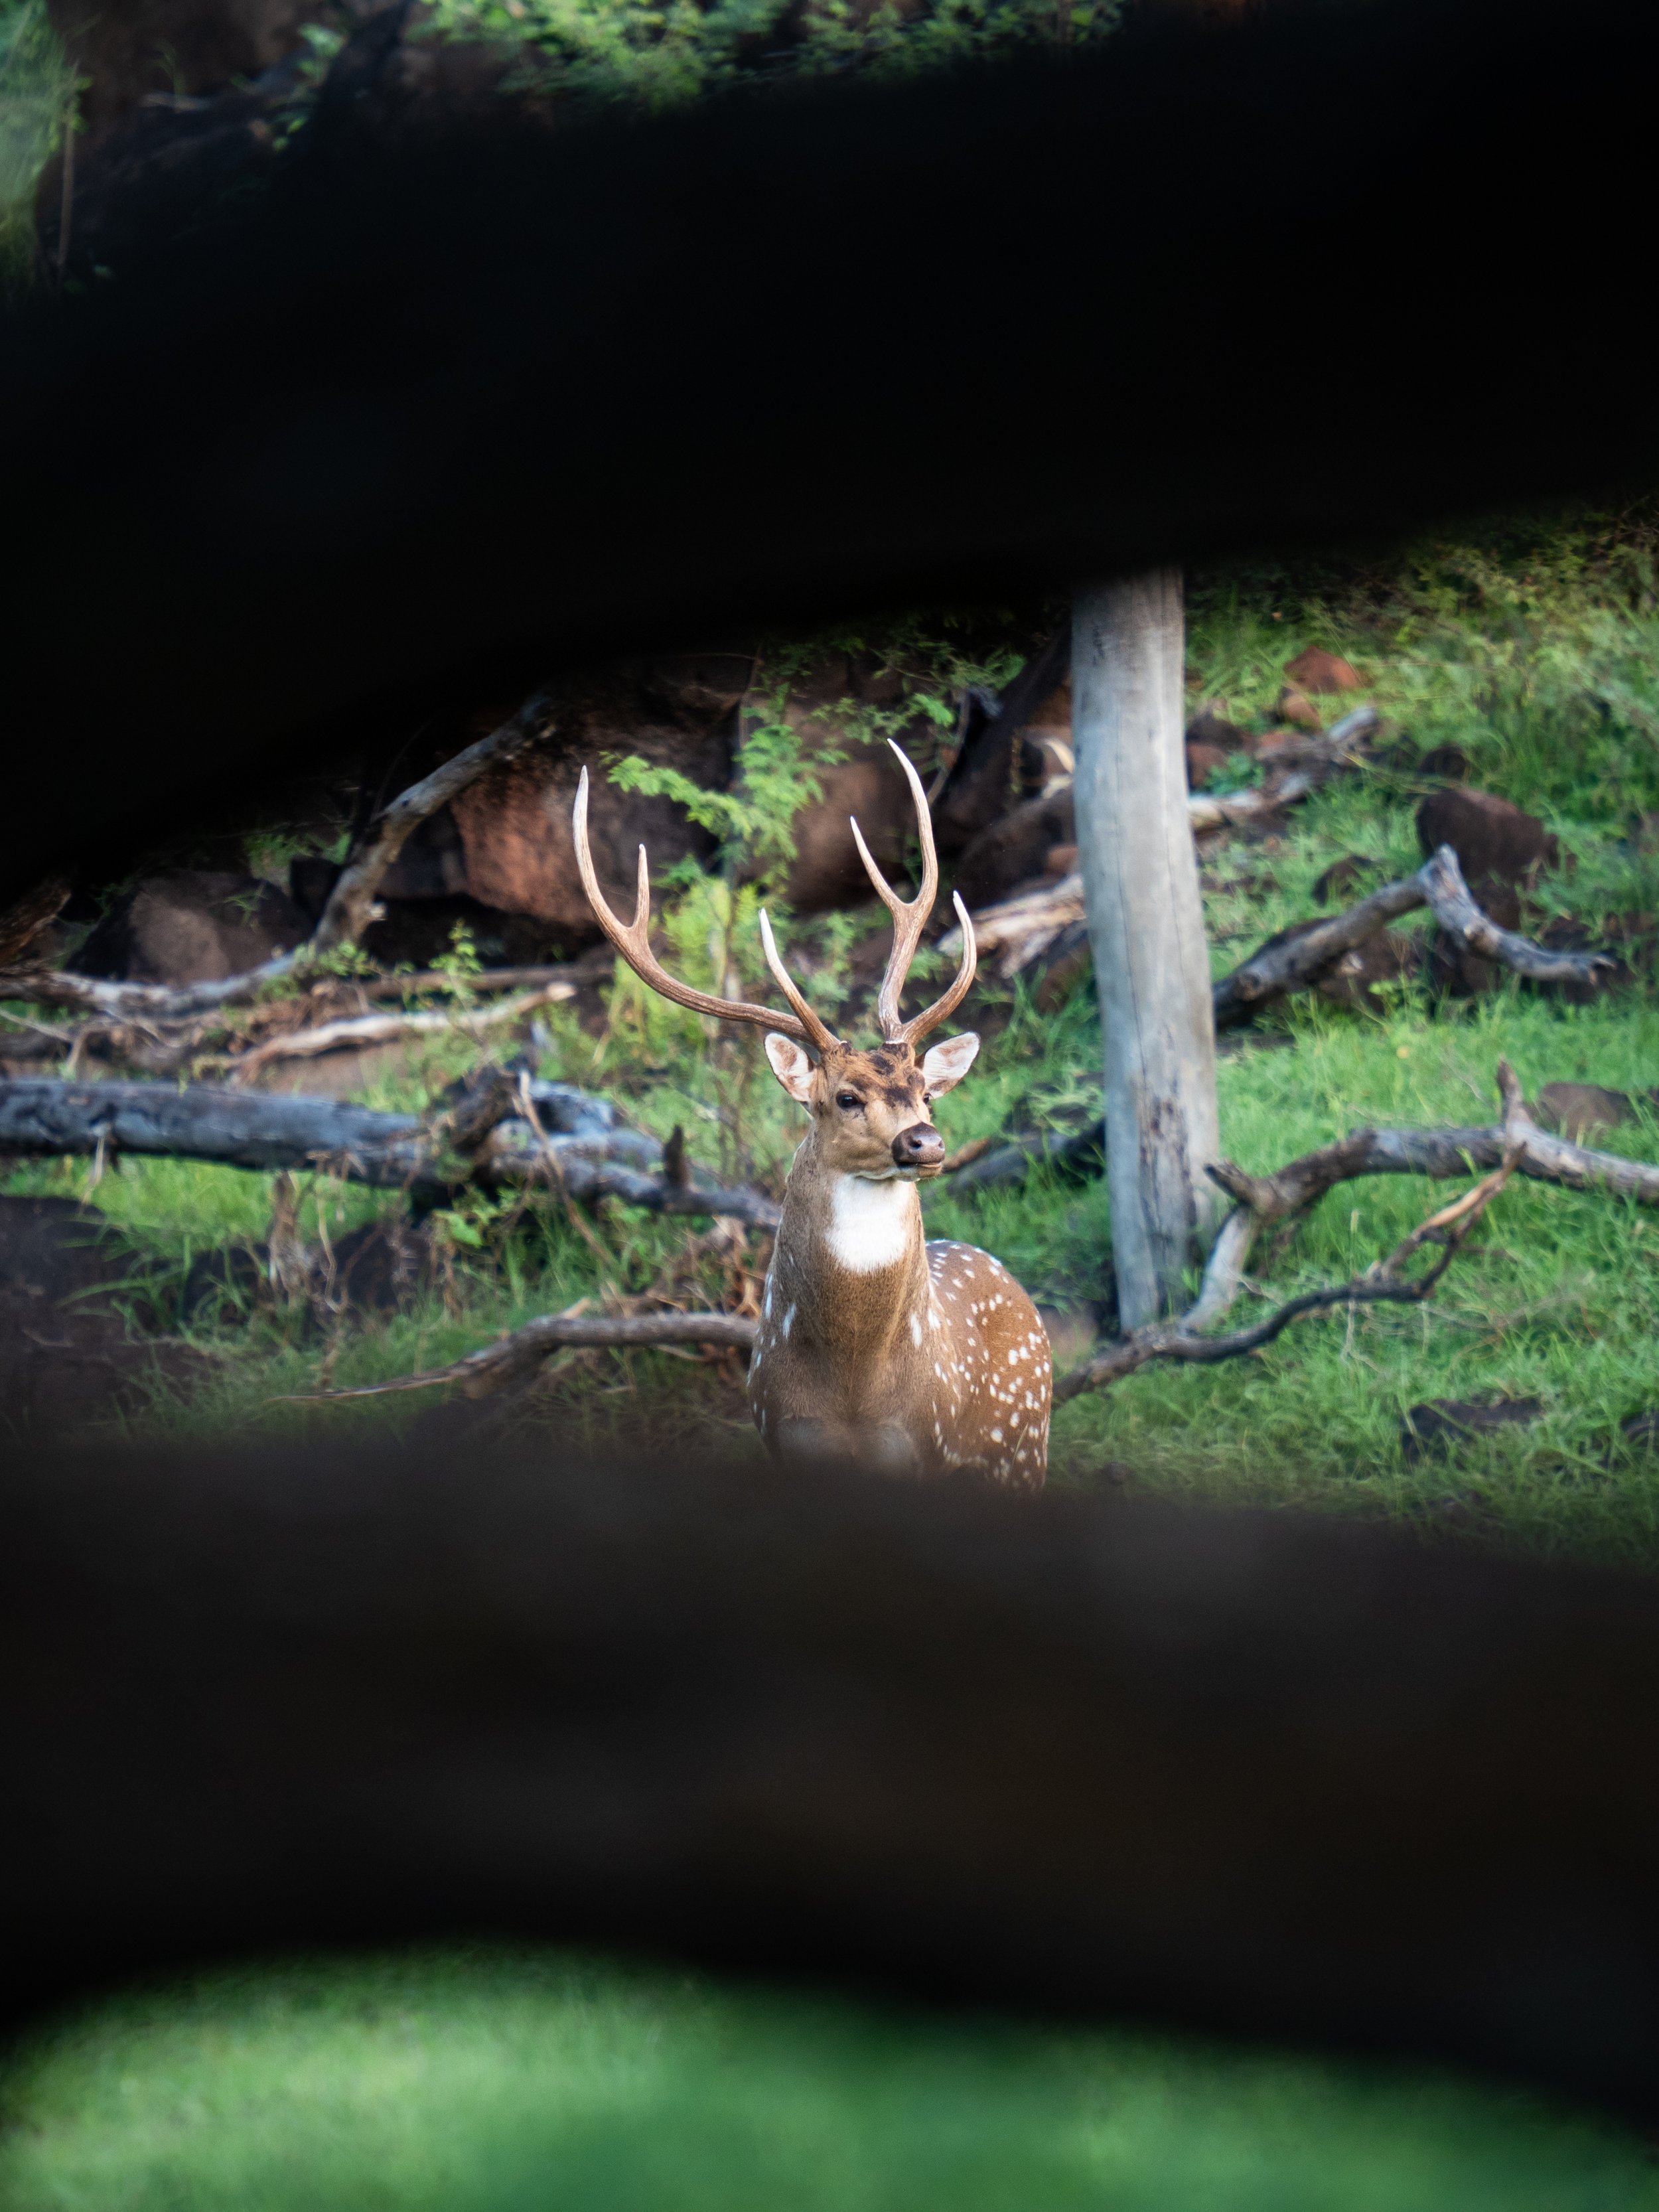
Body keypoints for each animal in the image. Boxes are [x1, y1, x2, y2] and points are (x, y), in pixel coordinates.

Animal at [573, 741, 1052, 1489]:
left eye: (926, 1090)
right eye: (846, 1097)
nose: (925, 1141)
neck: (854, 1399)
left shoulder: (927, 1443)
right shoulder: (781, 1432)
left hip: (1025, 1450)